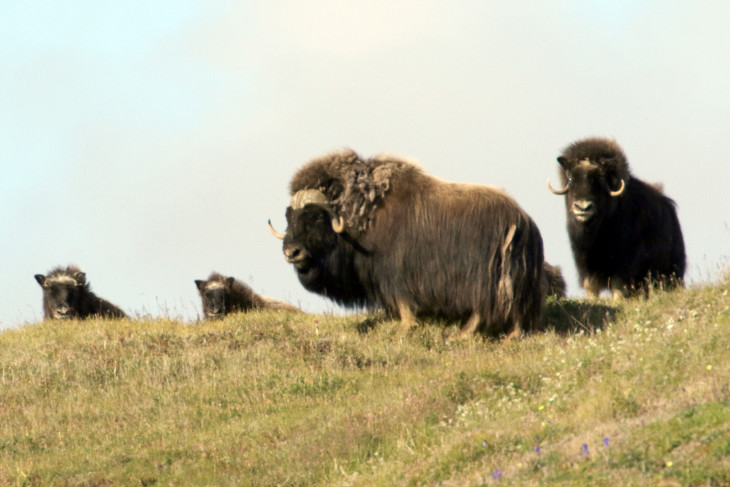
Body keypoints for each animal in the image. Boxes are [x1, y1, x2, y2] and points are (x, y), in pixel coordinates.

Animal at [270, 150, 544, 340]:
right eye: (289, 217)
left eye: (315, 217)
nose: (291, 252)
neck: (361, 215)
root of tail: (522, 221)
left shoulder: (393, 272)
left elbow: (403, 301)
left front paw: (405, 327)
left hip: (484, 278)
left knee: (484, 307)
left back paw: (465, 334)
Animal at [544, 135, 684, 300]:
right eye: (571, 179)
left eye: (599, 180)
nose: (583, 208)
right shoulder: (585, 265)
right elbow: (591, 286)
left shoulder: (622, 266)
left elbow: (618, 287)